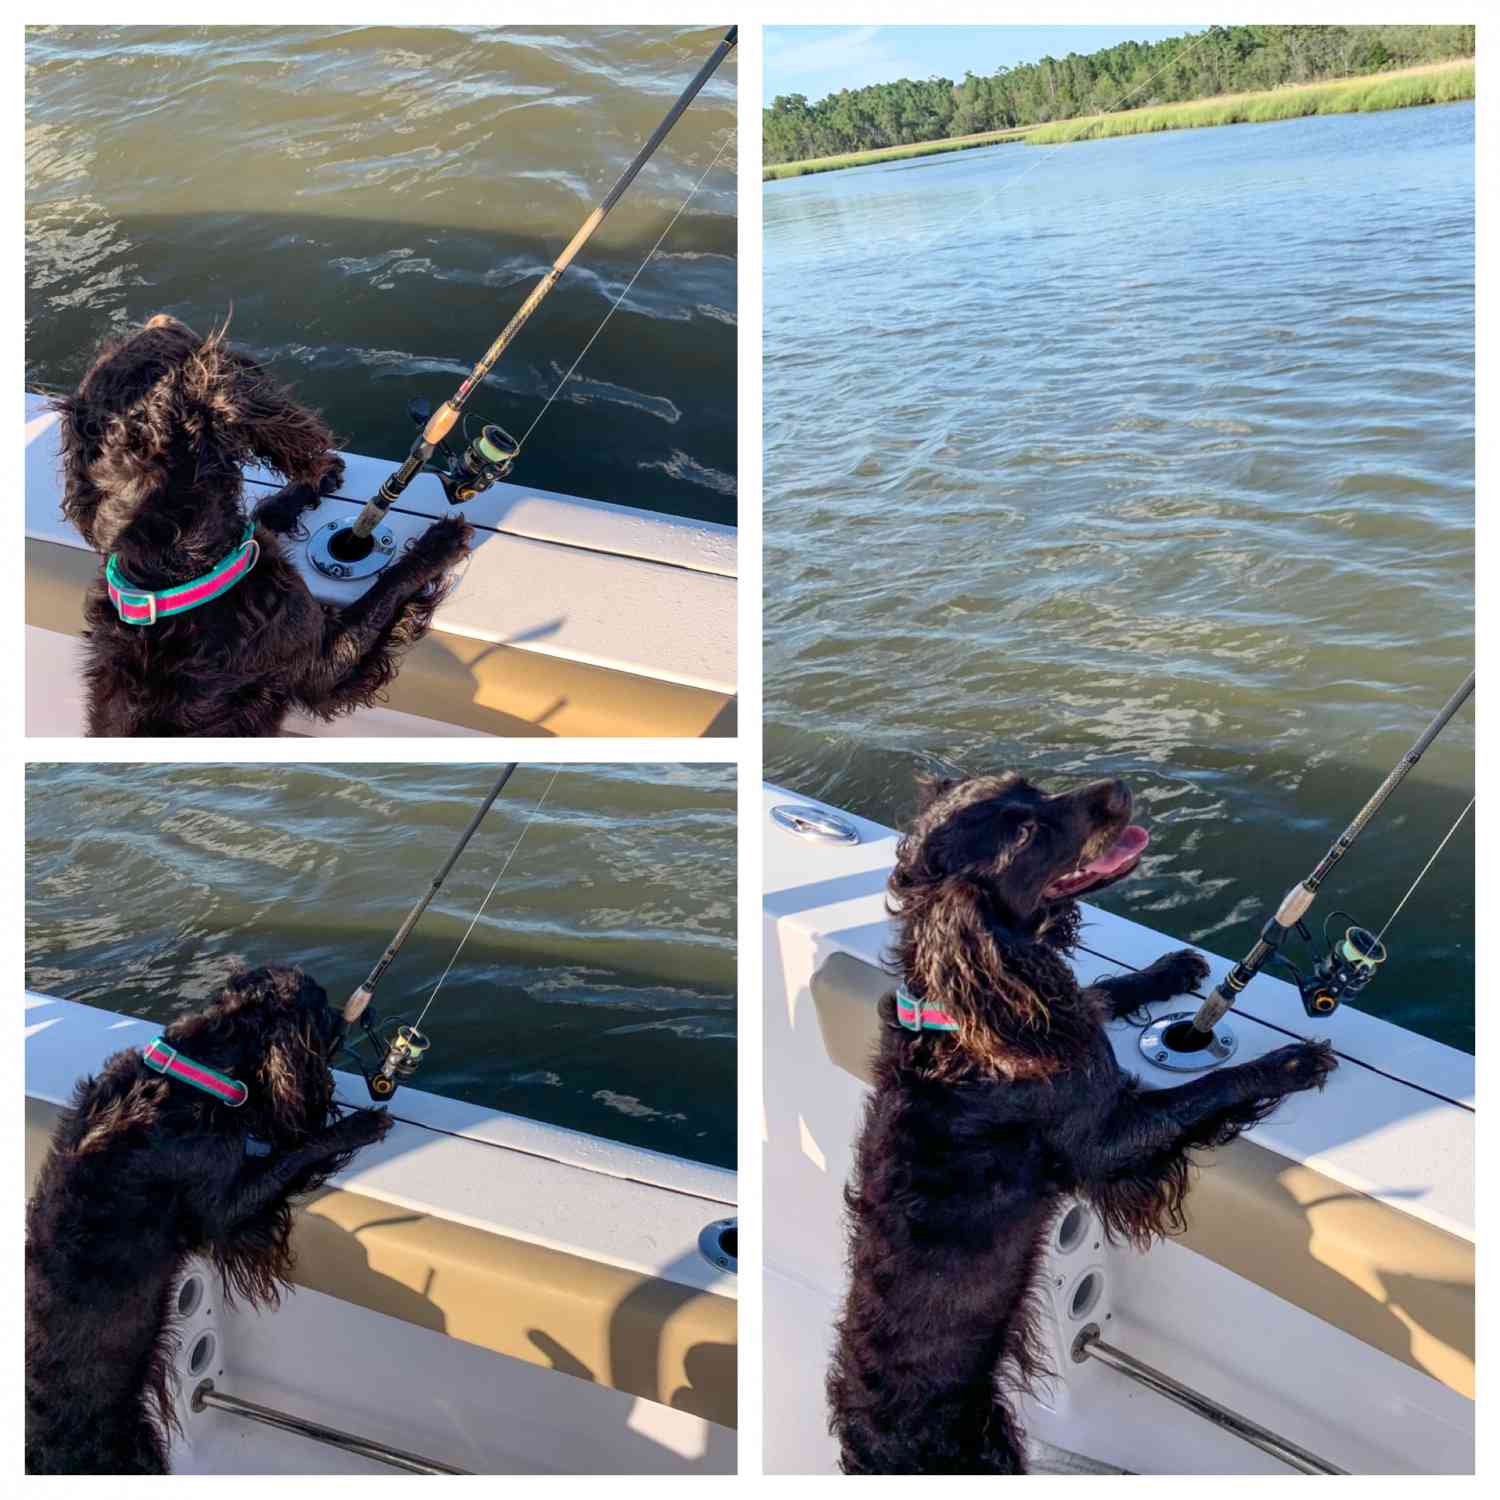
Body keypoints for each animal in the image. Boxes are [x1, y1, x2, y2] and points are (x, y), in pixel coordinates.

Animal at [26, 966, 390, 1470]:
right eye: (320, 1004)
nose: (348, 1015)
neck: (194, 1076)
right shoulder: (223, 1208)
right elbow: (291, 1153)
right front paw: (358, 1126)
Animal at [55, 313, 471, 735]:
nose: (161, 317)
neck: (178, 571)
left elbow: (265, 515)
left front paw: (314, 481)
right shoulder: (322, 664)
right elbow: (383, 593)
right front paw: (439, 543)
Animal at [834, 774, 1338, 1476]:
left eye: (1029, 787)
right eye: (1023, 833)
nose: (1119, 788)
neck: (965, 1022)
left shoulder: (1059, 1012)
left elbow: (1103, 992)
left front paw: (1170, 970)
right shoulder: (1106, 1136)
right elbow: (1208, 1087)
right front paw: (1288, 1062)